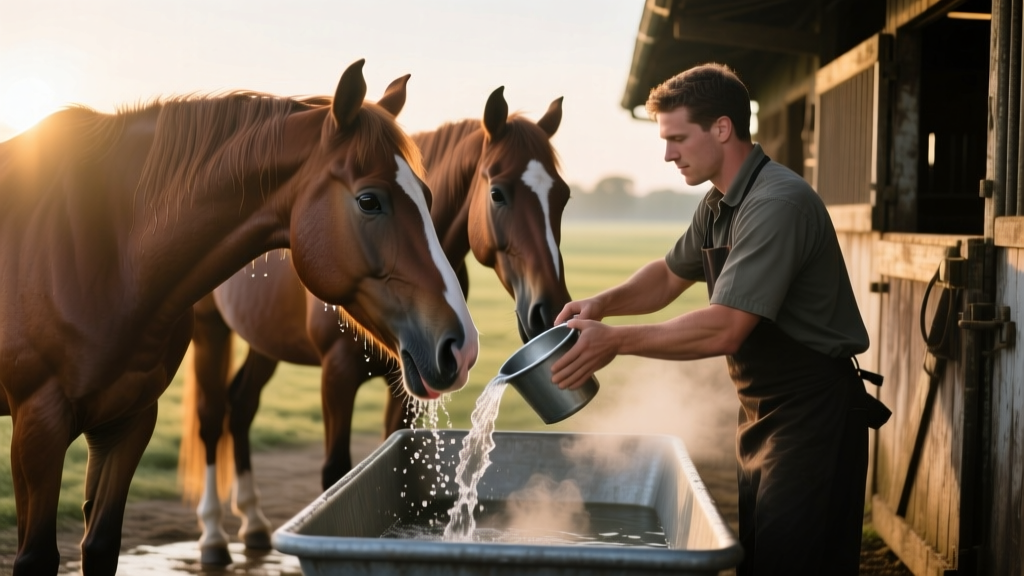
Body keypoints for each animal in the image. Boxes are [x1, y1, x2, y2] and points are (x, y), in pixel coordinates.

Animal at [0, 59, 479, 576]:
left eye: (427, 195)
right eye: (369, 200)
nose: (462, 345)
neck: (104, 252)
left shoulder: (127, 422)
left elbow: (101, 544)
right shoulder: (39, 427)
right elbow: (35, 556)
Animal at [177, 86, 571, 563]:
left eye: (563, 197)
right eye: (498, 193)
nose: (550, 310)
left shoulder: (405, 380)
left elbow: (390, 458)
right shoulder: (337, 376)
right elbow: (336, 472)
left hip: (264, 344)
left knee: (241, 407)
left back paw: (253, 523)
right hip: (210, 332)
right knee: (212, 416)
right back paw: (213, 536)